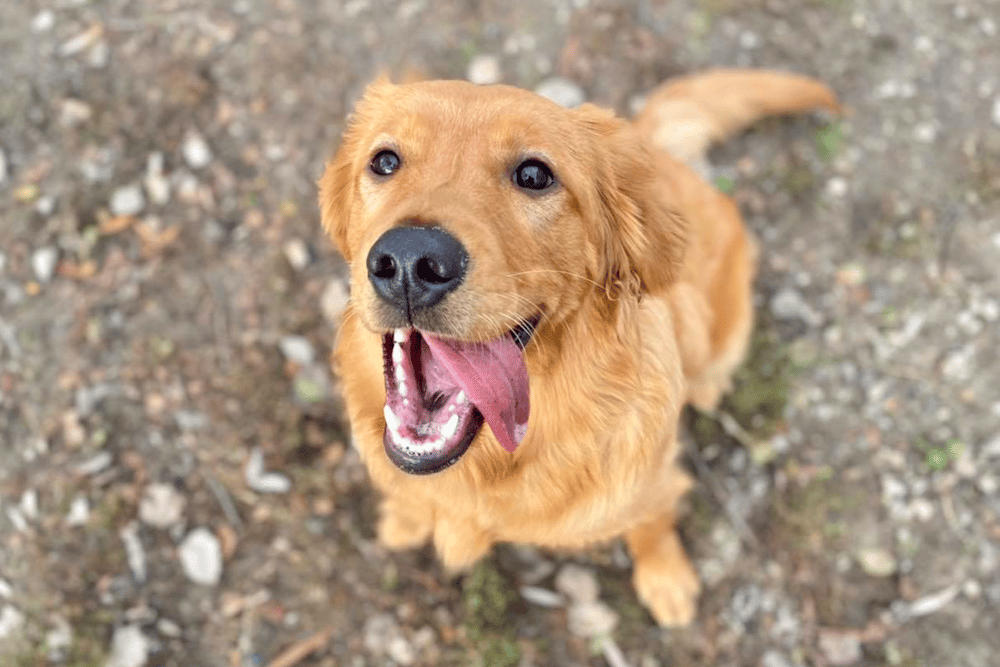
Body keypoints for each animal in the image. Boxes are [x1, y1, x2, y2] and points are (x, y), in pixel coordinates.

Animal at [318, 69, 836, 628]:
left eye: (534, 175)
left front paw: (666, 578)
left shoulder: (649, 484)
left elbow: (652, 525)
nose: (411, 260)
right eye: (385, 161)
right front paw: (406, 517)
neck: (496, 462)